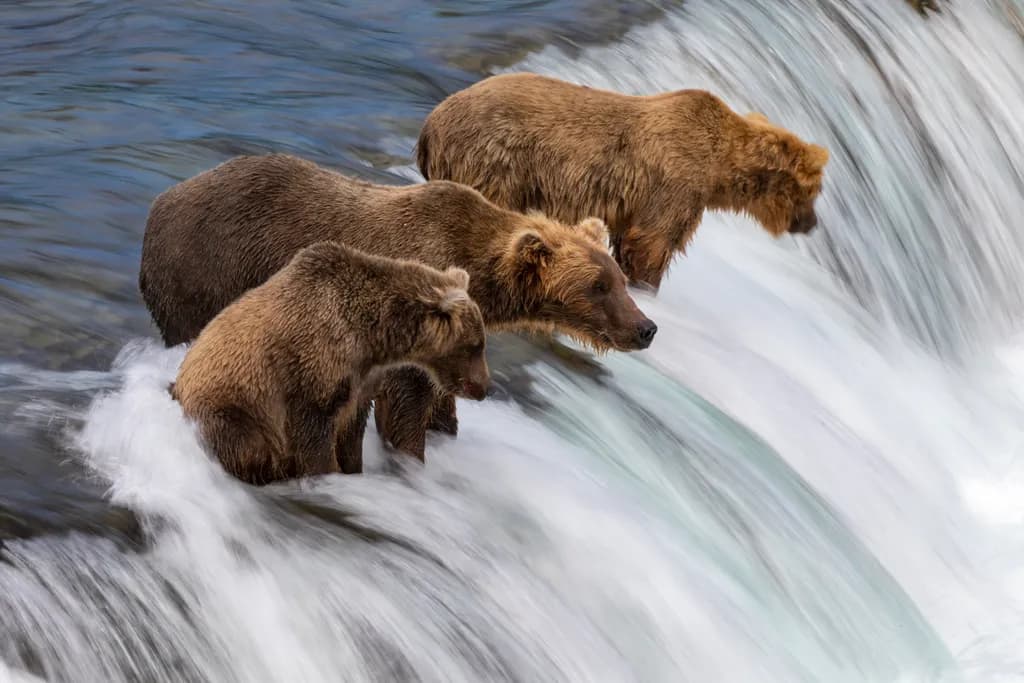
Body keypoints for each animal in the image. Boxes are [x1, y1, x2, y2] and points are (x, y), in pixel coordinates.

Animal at [171, 241, 489, 485]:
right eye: (475, 346)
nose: (483, 388)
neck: (372, 337)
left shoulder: (362, 380)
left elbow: (351, 431)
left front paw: (352, 470)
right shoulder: (312, 368)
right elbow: (314, 433)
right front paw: (327, 475)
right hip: (230, 408)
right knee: (242, 443)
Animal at [416, 72, 830, 289]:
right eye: (812, 191)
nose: (811, 224)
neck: (718, 169)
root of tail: (429, 125)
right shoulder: (675, 184)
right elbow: (652, 242)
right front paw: (644, 283)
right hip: (497, 160)